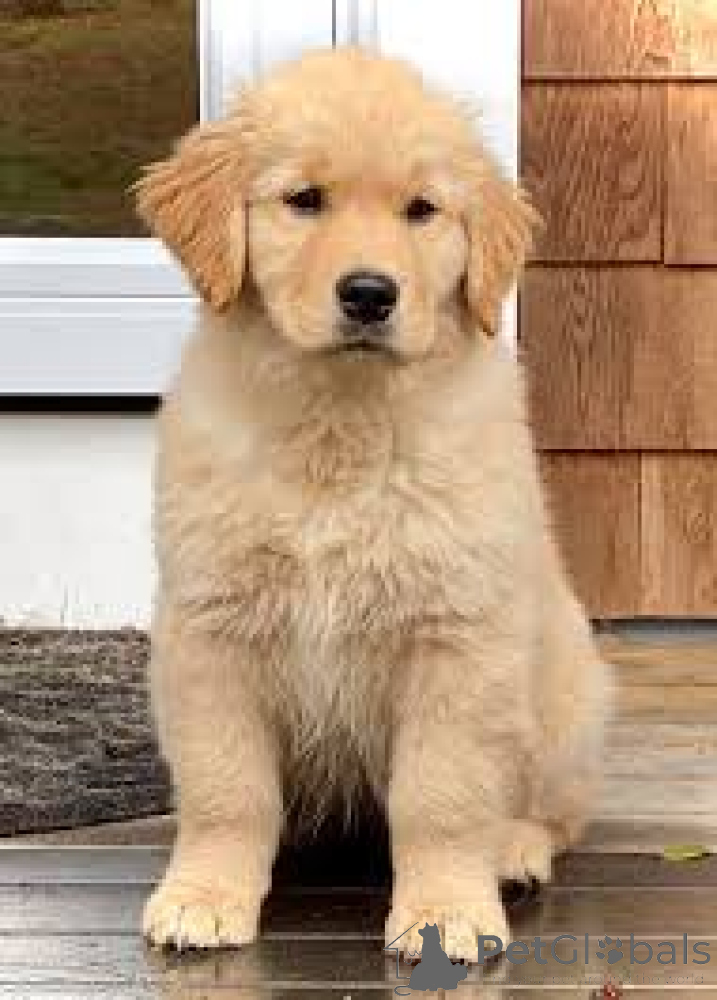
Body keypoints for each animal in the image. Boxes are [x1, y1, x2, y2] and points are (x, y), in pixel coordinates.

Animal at [136, 47, 609, 962]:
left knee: (554, 810)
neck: (340, 421)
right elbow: (226, 788)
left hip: (570, 689)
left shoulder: (456, 636)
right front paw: (204, 895)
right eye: (303, 199)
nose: (368, 294)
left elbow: (442, 795)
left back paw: (514, 850)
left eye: (420, 210)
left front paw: (445, 911)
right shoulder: (209, 630)